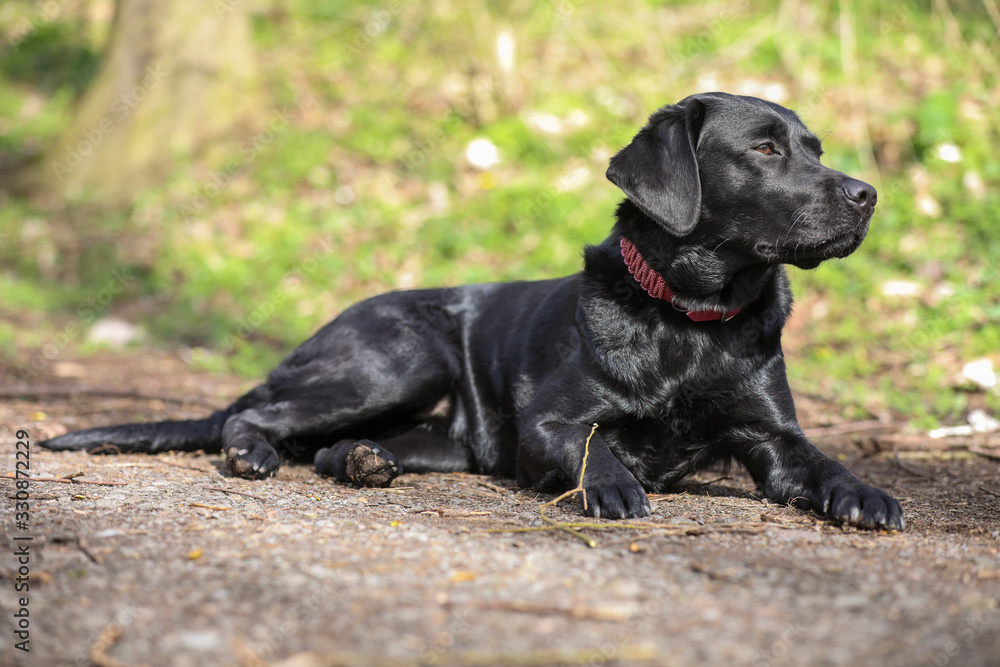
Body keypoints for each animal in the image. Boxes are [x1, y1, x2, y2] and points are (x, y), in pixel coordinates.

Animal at [43, 94, 908, 532]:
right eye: (765, 149)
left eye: (815, 146)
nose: (868, 194)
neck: (689, 316)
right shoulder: (550, 422)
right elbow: (597, 446)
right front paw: (617, 486)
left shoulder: (772, 437)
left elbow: (823, 460)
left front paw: (865, 493)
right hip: (400, 359)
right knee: (251, 415)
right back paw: (254, 452)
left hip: (440, 432)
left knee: (328, 446)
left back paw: (364, 460)